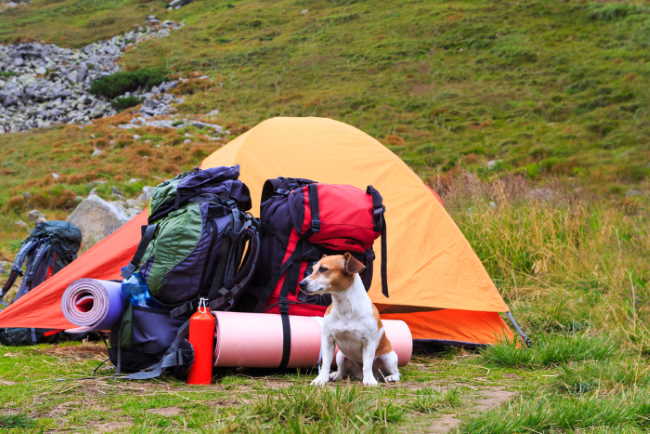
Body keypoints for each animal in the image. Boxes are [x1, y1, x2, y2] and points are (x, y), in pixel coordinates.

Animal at [300, 253, 400, 384]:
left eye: (323, 269)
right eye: (313, 269)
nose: (301, 284)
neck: (345, 307)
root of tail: (358, 374)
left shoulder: (369, 342)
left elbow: (367, 365)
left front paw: (369, 380)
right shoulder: (328, 340)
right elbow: (326, 363)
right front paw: (321, 379)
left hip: (389, 357)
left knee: (396, 372)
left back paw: (390, 377)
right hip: (340, 356)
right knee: (342, 371)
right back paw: (335, 375)